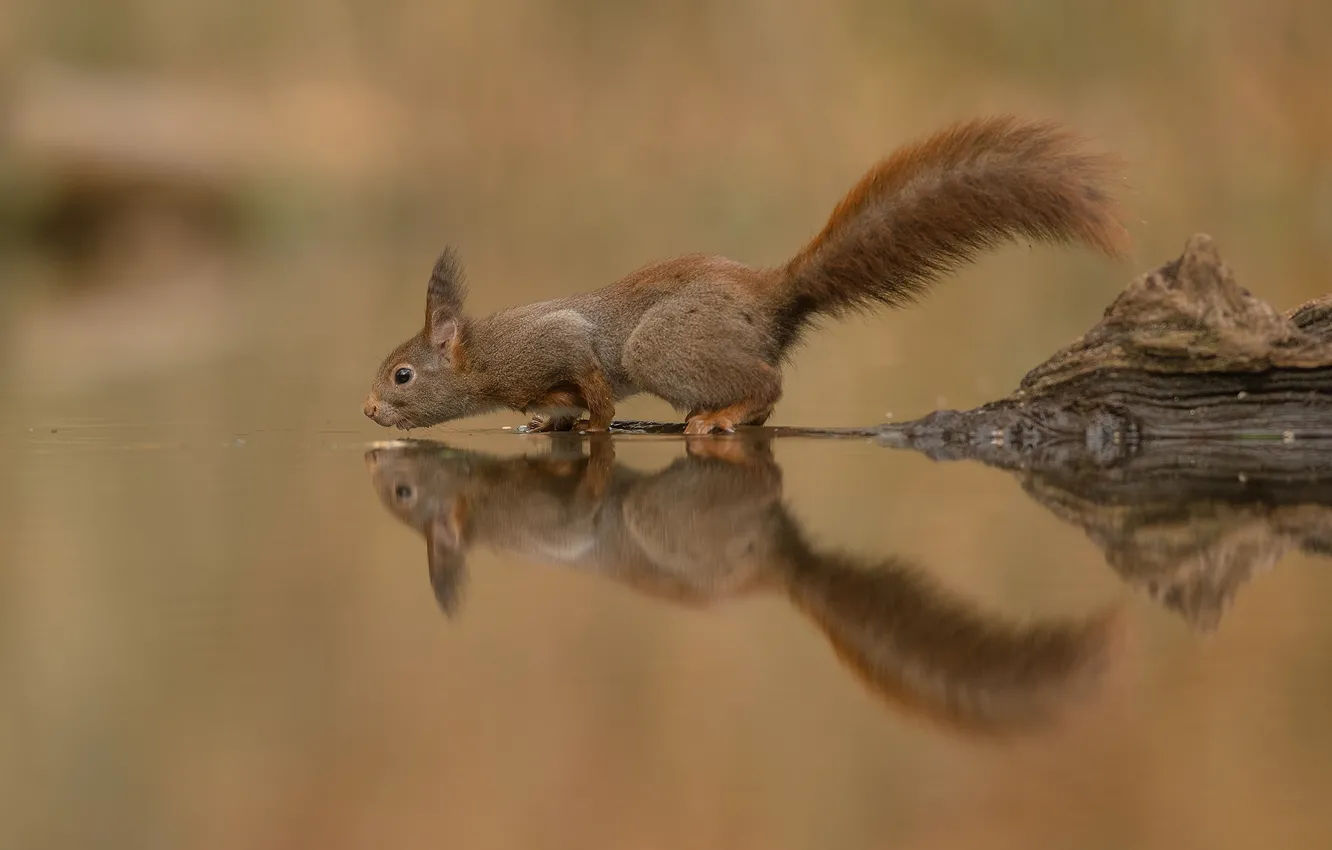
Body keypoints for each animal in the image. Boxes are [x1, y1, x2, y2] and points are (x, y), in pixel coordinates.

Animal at [362, 116, 1124, 436]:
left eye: (402, 375)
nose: (367, 411)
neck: (485, 360)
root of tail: (772, 294)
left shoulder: (555, 341)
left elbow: (593, 384)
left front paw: (593, 420)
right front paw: (548, 421)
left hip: (663, 347)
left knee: (769, 386)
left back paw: (723, 415)